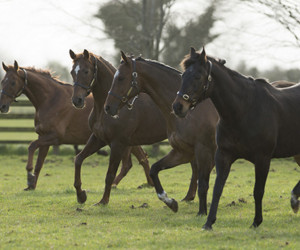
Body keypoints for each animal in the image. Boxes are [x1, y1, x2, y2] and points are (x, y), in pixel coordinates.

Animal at [0, 61, 150, 189]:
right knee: (135, 162)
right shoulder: (44, 137)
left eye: (12, 82)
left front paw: (29, 174)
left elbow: (31, 146)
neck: (51, 99)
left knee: (138, 161)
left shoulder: (54, 137)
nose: (2, 106)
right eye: (2, 81)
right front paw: (31, 185)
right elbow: (39, 163)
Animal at [69, 48, 185, 205]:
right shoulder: (99, 138)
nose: (77, 100)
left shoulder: (118, 143)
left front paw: (103, 201)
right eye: (72, 72)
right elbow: (78, 159)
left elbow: (110, 174)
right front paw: (81, 195)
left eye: (86, 71)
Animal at [103, 50, 218, 215]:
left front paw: (202, 212)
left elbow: (203, 182)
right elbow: (154, 170)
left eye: (121, 78)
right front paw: (170, 202)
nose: (107, 107)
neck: (190, 112)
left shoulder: (203, 151)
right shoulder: (183, 152)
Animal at [172, 47, 300, 229]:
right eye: (183, 75)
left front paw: (256, 222)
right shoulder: (223, 155)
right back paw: (295, 200)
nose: (178, 107)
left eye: (197, 76)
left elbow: (258, 191)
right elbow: (217, 188)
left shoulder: (262, 159)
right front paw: (209, 222)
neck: (244, 110)